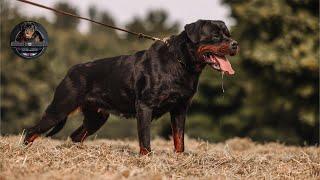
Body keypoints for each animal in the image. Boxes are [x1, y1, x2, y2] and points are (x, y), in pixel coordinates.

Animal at [24, 20, 238, 155]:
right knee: (31, 131)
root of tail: (71, 70)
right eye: (215, 36)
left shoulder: (180, 109)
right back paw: (23, 151)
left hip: (96, 117)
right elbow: (145, 138)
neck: (181, 62)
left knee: (76, 135)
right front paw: (146, 159)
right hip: (59, 109)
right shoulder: (145, 106)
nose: (235, 44)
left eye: (228, 34)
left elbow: (179, 139)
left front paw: (179, 159)